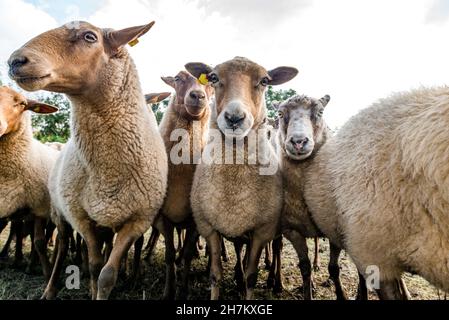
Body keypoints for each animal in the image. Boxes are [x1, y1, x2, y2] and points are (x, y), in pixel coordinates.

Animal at [10, 20, 168, 300]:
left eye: (89, 37)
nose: (15, 61)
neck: (109, 172)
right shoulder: (81, 217)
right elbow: (94, 265)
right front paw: (91, 283)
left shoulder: (137, 220)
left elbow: (107, 274)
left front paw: (104, 286)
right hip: (59, 212)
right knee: (62, 247)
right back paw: (50, 288)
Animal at [186, 57, 298, 300]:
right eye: (213, 77)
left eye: (265, 80)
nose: (234, 117)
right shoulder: (209, 227)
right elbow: (215, 275)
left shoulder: (262, 231)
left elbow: (251, 277)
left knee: (274, 250)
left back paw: (274, 281)